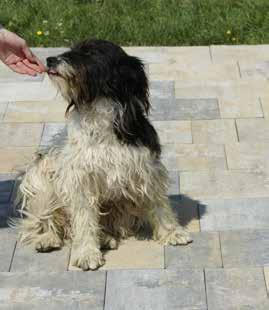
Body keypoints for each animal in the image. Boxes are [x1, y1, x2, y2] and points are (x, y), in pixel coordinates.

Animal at [16, 40, 191, 270]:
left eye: (89, 53)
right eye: (72, 50)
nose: (50, 59)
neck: (99, 113)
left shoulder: (146, 167)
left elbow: (159, 203)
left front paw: (172, 232)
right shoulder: (80, 178)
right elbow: (84, 219)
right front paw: (87, 253)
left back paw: (105, 237)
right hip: (40, 175)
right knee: (46, 219)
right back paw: (49, 238)